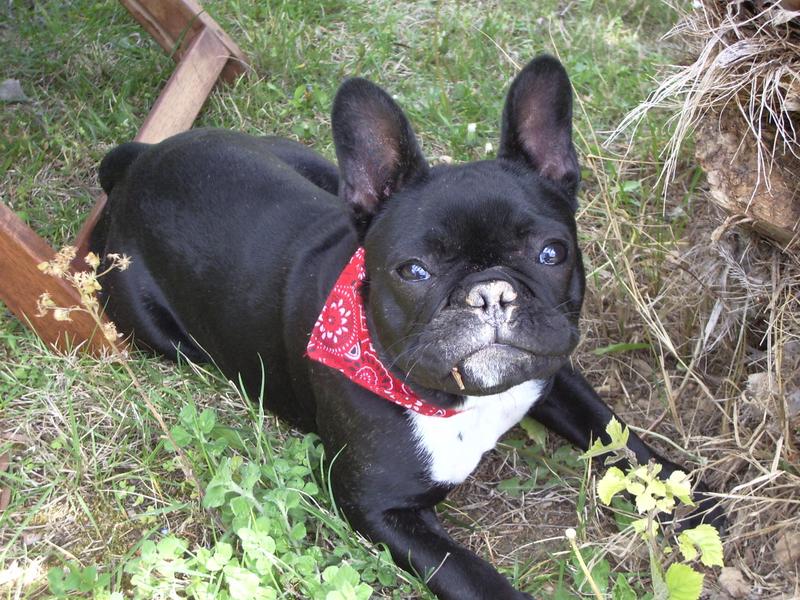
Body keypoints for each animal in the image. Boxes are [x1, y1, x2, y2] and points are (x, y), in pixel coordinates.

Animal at [91, 55, 721, 600]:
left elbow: (619, 436)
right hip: (155, 329)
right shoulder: (381, 508)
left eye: (552, 253)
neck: (463, 403)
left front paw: (691, 496)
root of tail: (141, 161)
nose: (490, 292)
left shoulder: (552, 370)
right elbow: (472, 575)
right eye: (414, 270)